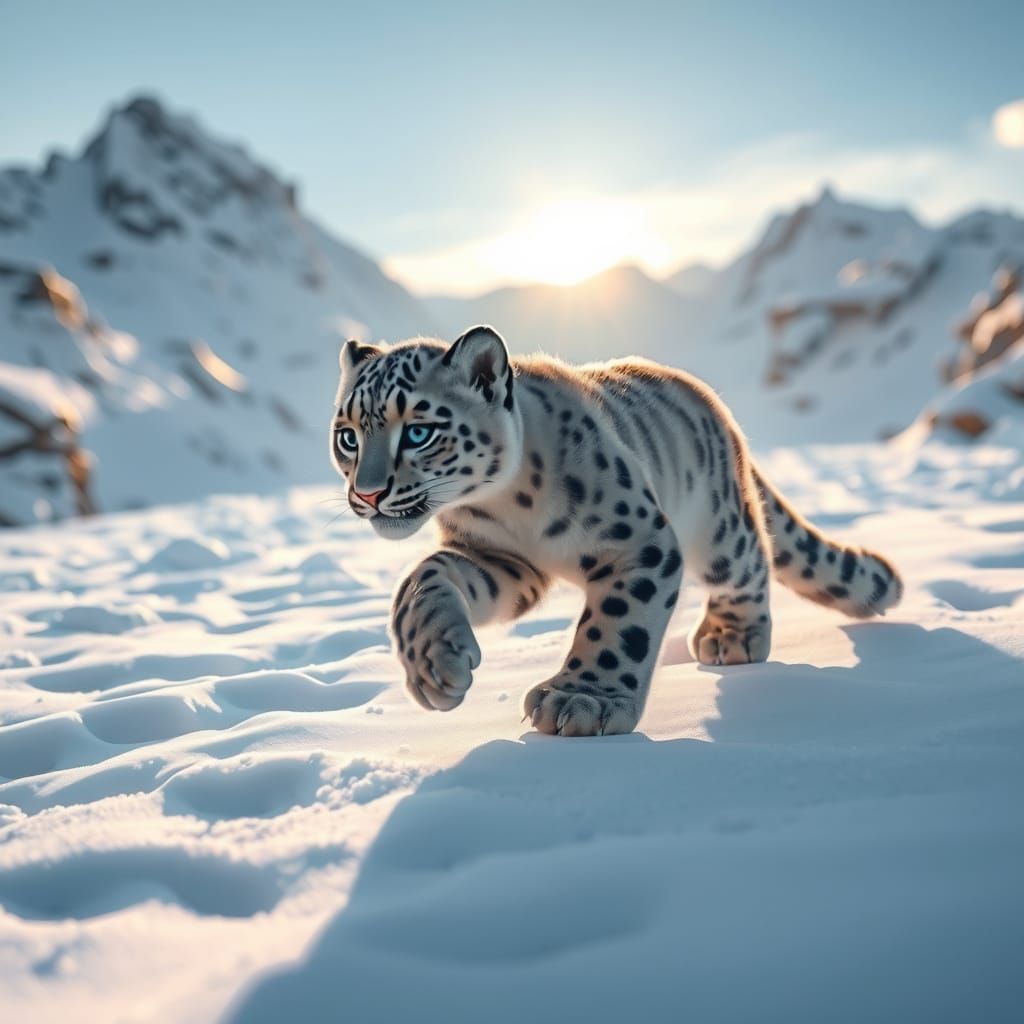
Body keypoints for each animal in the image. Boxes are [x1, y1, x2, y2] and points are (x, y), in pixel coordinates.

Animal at [330, 325, 903, 737]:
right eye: (348, 437)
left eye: (418, 432)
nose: (368, 494)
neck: (502, 504)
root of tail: (714, 406)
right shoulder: (502, 560)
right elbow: (423, 578)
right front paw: (435, 664)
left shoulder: (638, 541)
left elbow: (618, 624)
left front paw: (583, 701)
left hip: (719, 527)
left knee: (748, 560)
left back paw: (732, 635)